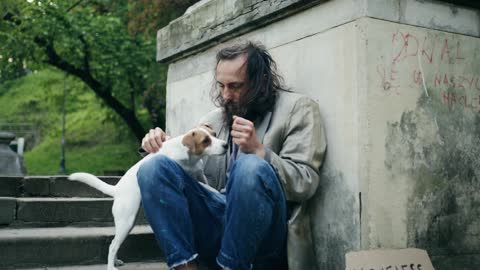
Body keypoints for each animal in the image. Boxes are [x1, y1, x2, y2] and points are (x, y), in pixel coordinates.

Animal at [68, 125, 228, 268]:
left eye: (214, 134)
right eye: (206, 140)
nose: (226, 145)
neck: (190, 156)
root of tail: (117, 189)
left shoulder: (200, 174)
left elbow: (205, 183)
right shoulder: (186, 175)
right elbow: (206, 187)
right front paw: (216, 192)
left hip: (127, 224)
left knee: (114, 242)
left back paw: (116, 261)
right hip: (126, 222)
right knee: (112, 245)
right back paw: (111, 267)